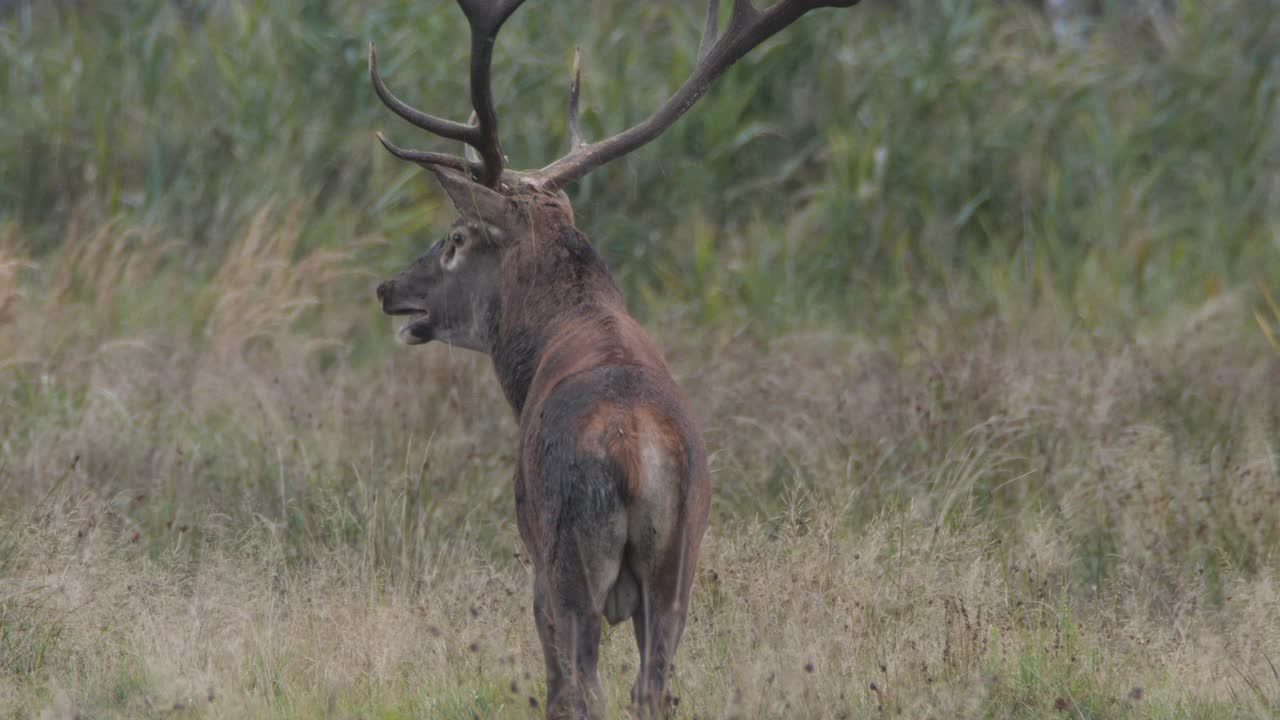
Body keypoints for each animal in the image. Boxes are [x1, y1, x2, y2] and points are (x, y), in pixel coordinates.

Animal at [371, 2, 865, 712]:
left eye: (456, 238)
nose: (388, 289)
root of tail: (638, 456)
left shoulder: (532, 547)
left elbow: (557, 684)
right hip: (680, 563)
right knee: (652, 687)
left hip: (569, 555)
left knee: (585, 686)